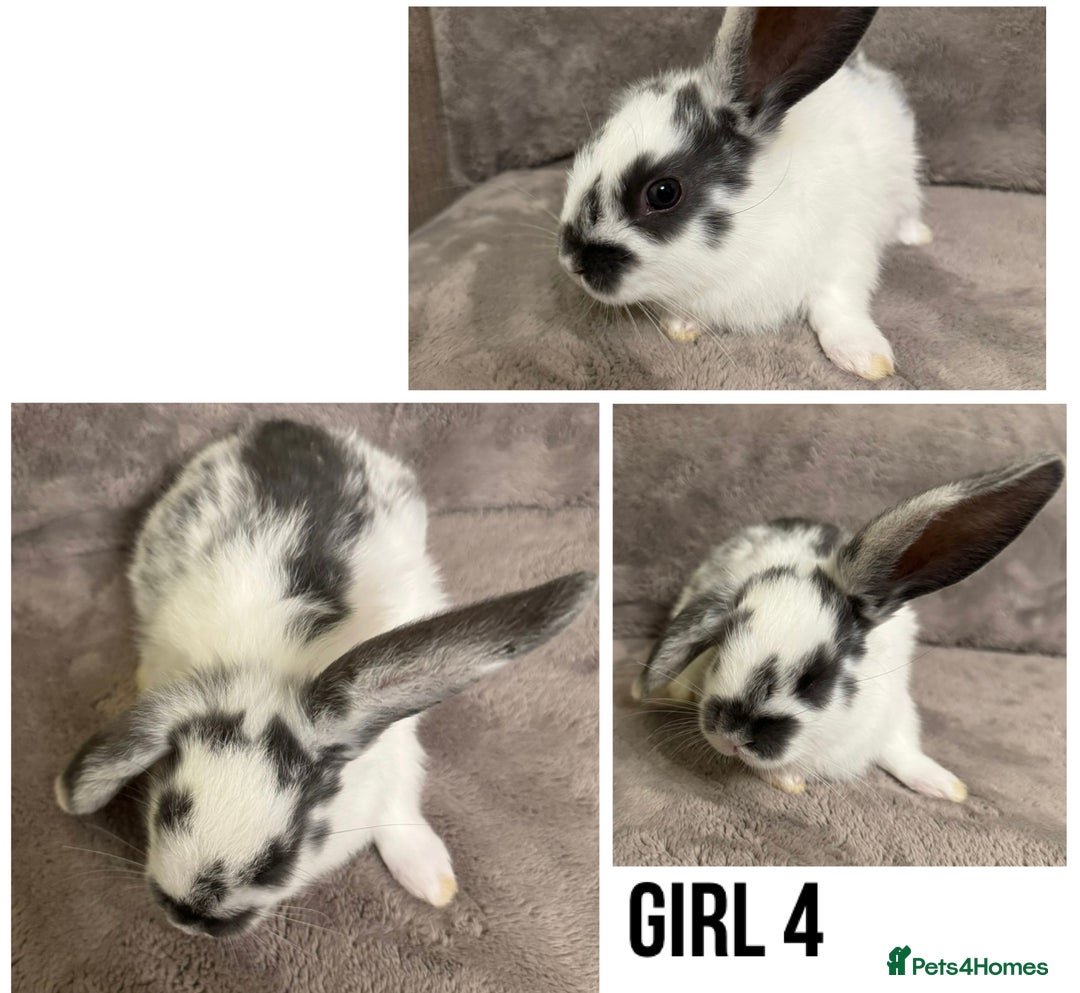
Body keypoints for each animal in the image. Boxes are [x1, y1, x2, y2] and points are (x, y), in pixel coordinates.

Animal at [55, 419, 595, 937]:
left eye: (279, 859)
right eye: (168, 810)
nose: (186, 916)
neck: (278, 668)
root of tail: (286, 426)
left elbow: (399, 808)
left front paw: (432, 880)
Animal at [558, 6, 931, 381]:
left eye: (663, 193)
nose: (571, 262)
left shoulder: (845, 255)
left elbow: (839, 305)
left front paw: (866, 358)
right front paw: (681, 326)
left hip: (904, 180)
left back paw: (919, 236)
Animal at [632, 454, 1063, 801]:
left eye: (814, 677)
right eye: (719, 651)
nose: (731, 735)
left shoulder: (894, 712)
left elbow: (905, 753)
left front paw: (946, 786)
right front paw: (788, 781)